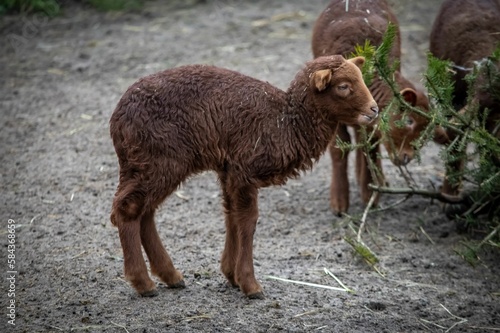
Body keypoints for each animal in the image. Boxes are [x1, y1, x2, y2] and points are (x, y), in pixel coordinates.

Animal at [107, 55, 376, 298]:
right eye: (343, 86)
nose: (374, 109)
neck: (284, 122)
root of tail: (117, 119)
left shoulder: (229, 171)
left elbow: (232, 216)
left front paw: (231, 275)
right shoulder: (245, 169)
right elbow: (248, 221)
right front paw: (251, 285)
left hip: (147, 165)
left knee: (144, 212)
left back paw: (171, 276)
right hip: (160, 161)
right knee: (128, 209)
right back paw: (143, 283)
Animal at [312, 0, 438, 214]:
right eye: (409, 120)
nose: (407, 157)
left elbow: (369, 147)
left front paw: (370, 193)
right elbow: (339, 149)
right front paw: (339, 201)